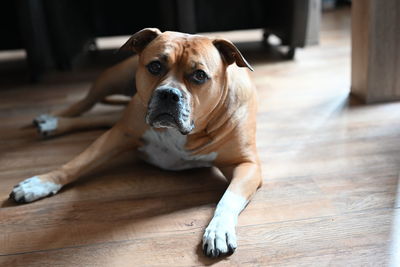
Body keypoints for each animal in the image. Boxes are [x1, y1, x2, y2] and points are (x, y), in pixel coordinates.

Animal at [8, 28, 262, 258]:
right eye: (155, 66)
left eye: (199, 75)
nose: (169, 94)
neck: (182, 134)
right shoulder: (118, 135)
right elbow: (77, 163)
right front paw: (40, 183)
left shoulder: (247, 165)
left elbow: (228, 198)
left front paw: (219, 230)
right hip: (113, 78)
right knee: (84, 104)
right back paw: (53, 120)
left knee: (102, 117)